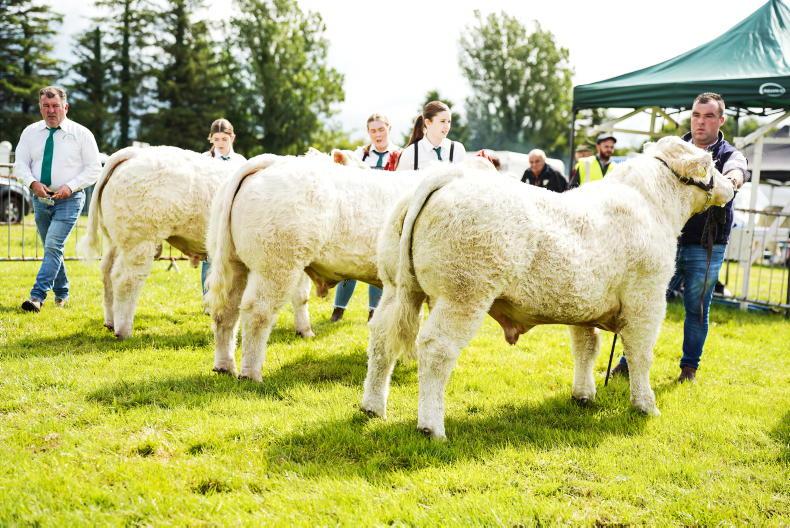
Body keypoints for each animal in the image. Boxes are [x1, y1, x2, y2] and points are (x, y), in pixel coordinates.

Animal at [361, 136, 736, 440]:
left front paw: (583, 395)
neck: (651, 205)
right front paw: (645, 405)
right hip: (464, 295)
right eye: (712, 164)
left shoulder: (585, 306)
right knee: (436, 348)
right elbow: (640, 355)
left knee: (381, 338)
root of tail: (451, 176)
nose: (731, 185)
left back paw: (372, 406)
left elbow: (586, 347)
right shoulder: (647, 299)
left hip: (397, 288)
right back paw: (431, 426)